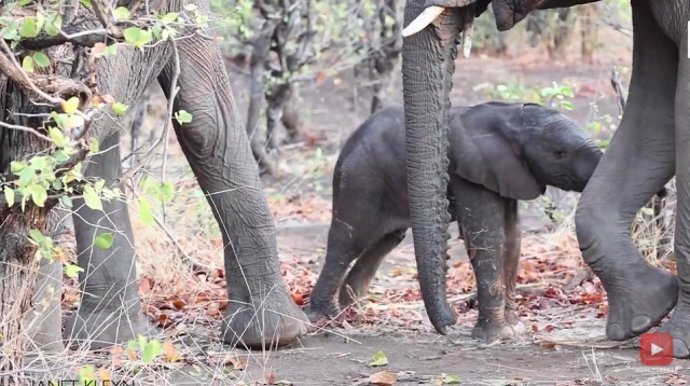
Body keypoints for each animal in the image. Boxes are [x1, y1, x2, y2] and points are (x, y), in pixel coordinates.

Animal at [306, 102, 600, 340]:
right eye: (559, 153)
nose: (450, 324)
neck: (511, 117)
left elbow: (513, 237)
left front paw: (514, 331)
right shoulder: (469, 173)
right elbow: (487, 235)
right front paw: (495, 337)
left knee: (384, 241)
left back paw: (355, 312)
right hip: (360, 179)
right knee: (349, 241)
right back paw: (325, 318)